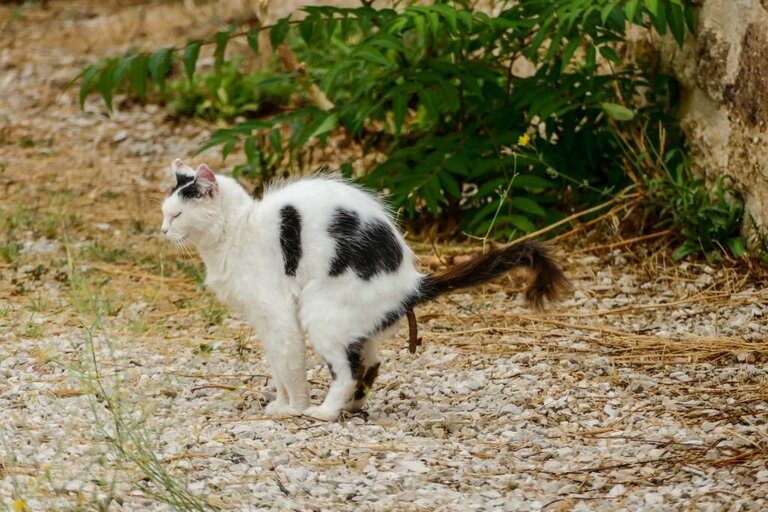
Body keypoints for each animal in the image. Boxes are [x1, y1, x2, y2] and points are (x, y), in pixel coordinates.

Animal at [160, 160, 568, 420]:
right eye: (165, 213)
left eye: (177, 215)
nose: (163, 231)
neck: (238, 230)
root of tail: (411, 280)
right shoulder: (263, 322)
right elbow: (277, 367)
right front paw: (280, 403)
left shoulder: (278, 316)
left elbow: (289, 365)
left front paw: (293, 408)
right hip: (355, 322)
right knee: (370, 363)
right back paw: (353, 406)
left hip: (320, 313)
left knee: (346, 370)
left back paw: (324, 412)